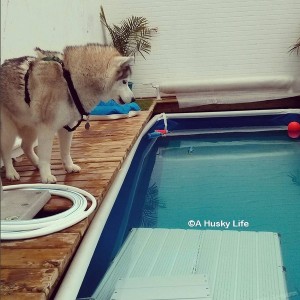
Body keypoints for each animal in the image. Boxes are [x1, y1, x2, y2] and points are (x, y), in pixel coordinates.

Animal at [0, 44, 135, 183]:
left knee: (25, 146)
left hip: (31, 128)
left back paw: (36, 163)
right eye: (124, 82)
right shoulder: (46, 129)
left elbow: (65, 151)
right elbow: (45, 156)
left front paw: (69, 166)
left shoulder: (68, 126)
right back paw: (11, 172)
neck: (70, 80)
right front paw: (46, 176)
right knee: (5, 151)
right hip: (8, 131)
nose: (133, 99)